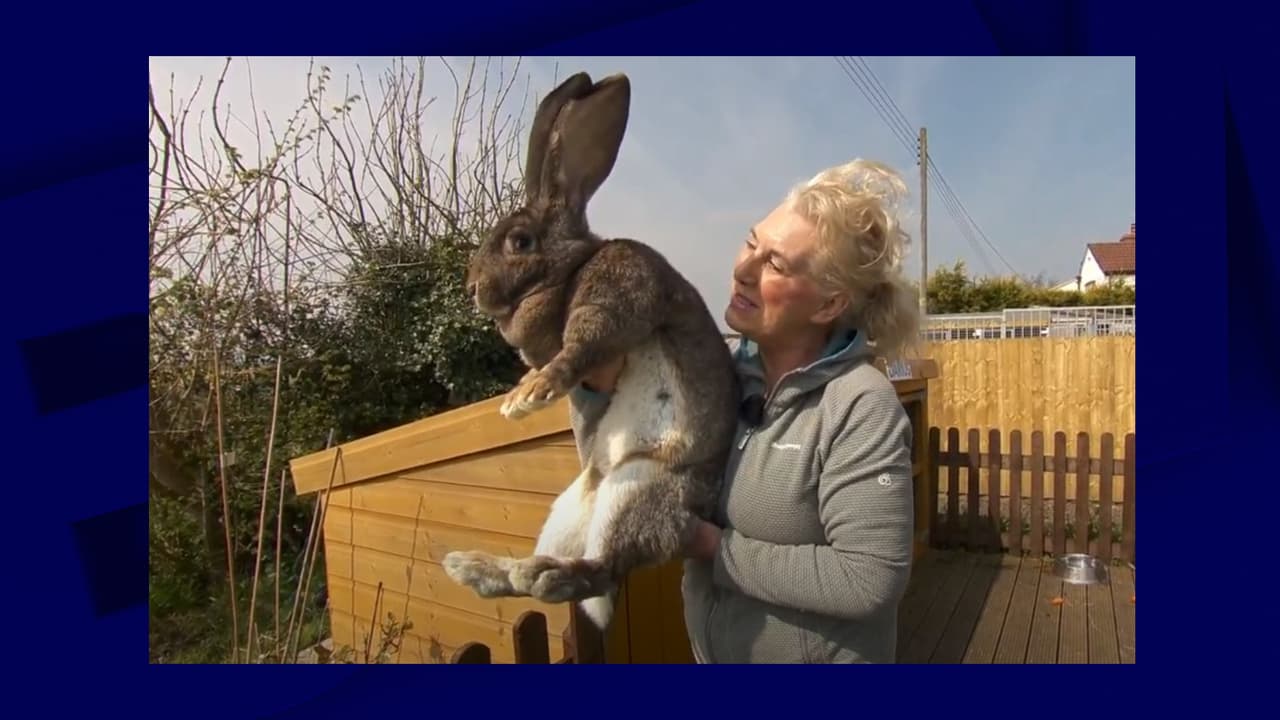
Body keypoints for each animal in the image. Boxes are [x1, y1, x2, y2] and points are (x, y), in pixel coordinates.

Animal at [441, 71, 741, 631]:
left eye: (519, 241)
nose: (472, 289)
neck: (567, 271)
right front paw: (521, 392)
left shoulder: (610, 305)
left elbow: (578, 349)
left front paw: (524, 398)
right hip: (571, 509)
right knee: (562, 572)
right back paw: (475, 568)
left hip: (639, 488)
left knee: (602, 571)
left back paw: (540, 576)